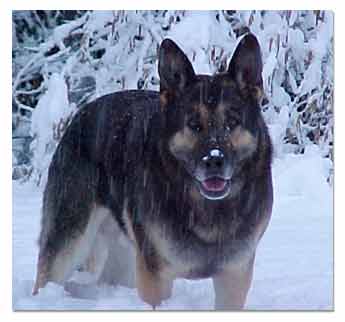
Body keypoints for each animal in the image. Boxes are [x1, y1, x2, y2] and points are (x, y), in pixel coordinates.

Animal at [32, 32, 272, 310]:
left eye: (232, 122)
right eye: (194, 124)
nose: (214, 161)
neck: (206, 209)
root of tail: (81, 114)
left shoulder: (234, 274)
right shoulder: (155, 276)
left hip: (124, 256)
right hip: (69, 240)